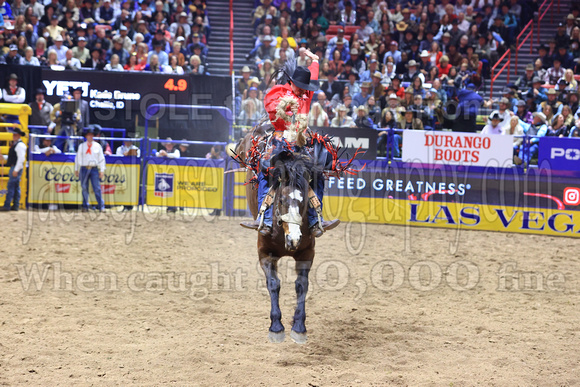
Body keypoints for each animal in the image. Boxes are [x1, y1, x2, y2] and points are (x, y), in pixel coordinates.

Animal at [237, 129, 318, 344]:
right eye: (281, 200)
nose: (294, 239)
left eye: (304, 201)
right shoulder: (264, 252)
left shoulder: (307, 252)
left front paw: (299, 327)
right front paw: (276, 327)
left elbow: (301, 285)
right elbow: (274, 284)